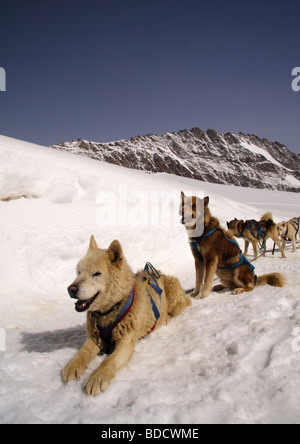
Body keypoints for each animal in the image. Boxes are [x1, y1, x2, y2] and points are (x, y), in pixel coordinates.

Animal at [62, 236, 191, 396]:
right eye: (79, 272)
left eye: (96, 274)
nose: (71, 289)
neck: (110, 310)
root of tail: (159, 273)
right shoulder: (94, 338)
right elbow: (82, 352)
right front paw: (73, 365)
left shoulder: (125, 343)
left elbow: (109, 361)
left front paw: (97, 376)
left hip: (174, 292)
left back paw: (166, 317)